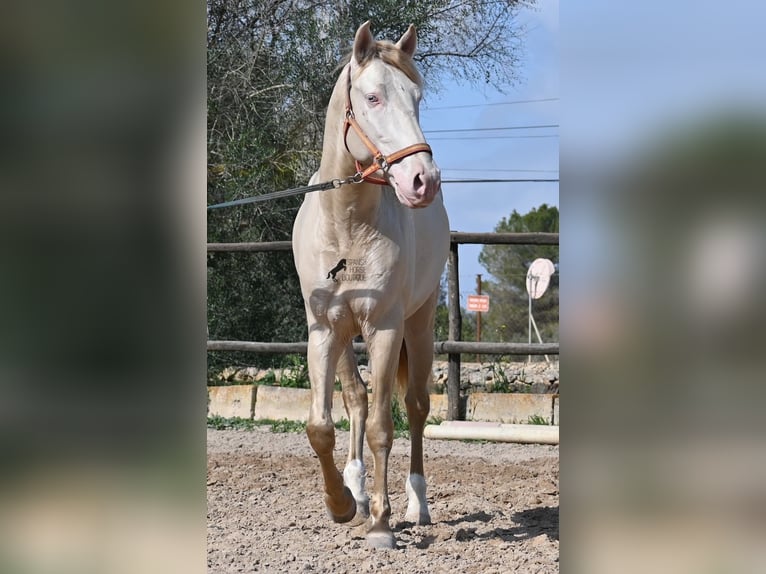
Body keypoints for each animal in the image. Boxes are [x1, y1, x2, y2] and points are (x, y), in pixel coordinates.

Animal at [294, 22, 450, 552]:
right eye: (373, 97)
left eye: (417, 98)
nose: (423, 180)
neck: (347, 225)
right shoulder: (323, 330)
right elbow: (321, 426)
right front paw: (341, 504)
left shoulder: (384, 327)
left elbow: (386, 424)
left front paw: (382, 525)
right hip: (347, 336)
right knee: (357, 401)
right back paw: (358, 493)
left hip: (418, 325)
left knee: (416, 408)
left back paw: (415, 505)